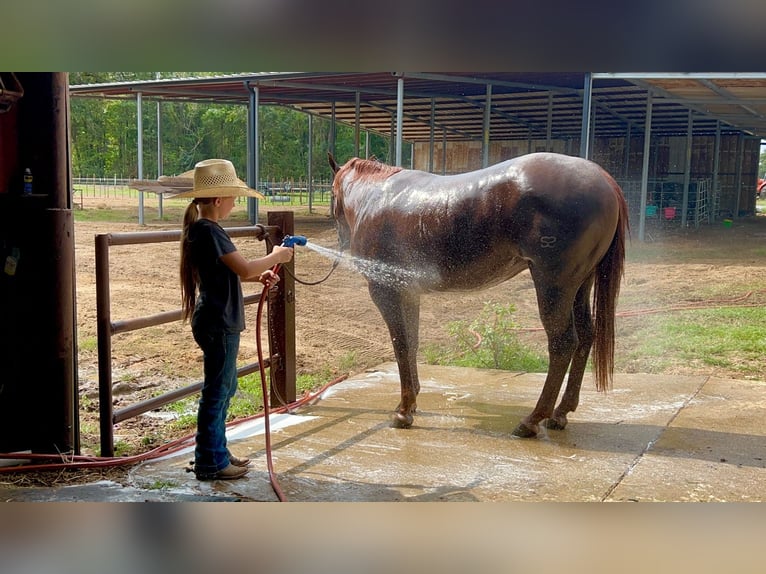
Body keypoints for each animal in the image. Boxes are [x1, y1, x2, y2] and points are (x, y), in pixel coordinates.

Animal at [330, 151, 632, 438]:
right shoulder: (408, 292)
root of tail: (603, 179)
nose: (341, 243)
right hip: (580, 285)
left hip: (554, 286)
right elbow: (412, 343)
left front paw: (403, 412)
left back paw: (532, 421)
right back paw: (560, 414)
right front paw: (411, 401)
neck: (376, 198)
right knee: (586, 336)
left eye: (333, 197)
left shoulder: (386, 291)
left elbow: (401, 346)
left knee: (563, 343)